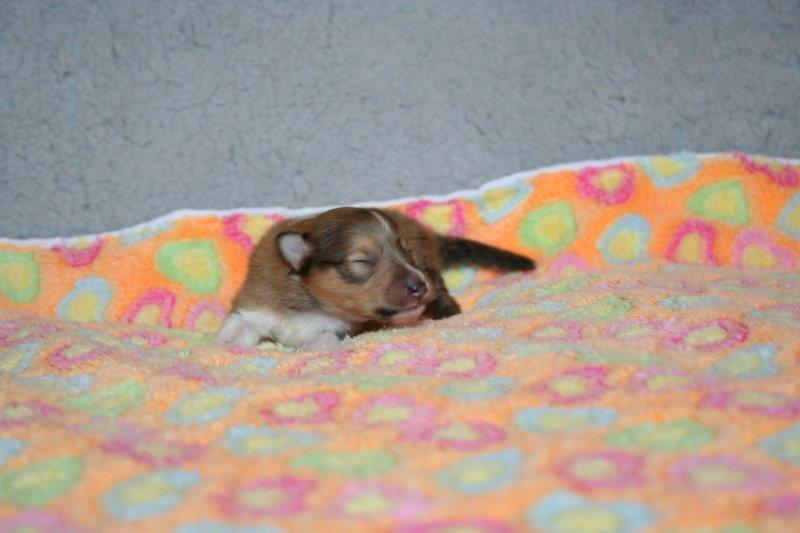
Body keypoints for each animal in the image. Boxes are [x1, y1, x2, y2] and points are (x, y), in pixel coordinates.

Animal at [214, 207, 535, 349]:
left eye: (403, 250)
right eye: (362, 261)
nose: (419, 286)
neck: (304, 301)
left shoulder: (334, 330)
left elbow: (319, 342)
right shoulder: (253, 307)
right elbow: (228, 336)